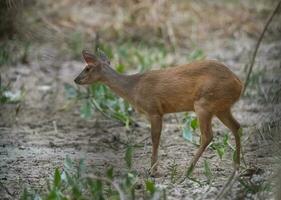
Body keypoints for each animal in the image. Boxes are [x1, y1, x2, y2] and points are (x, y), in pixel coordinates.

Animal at [74, 49, 243, 176]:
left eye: (87, 68)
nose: (76, 79)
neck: (133, 88)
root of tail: (239, 83)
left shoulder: (154, 110)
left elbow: (155, 138)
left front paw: (153, 170)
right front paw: (153, 169)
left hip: (204, 103)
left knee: (208, 135)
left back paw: (187, 171)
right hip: (221, 107)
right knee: (236, 126)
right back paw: (237, 165)